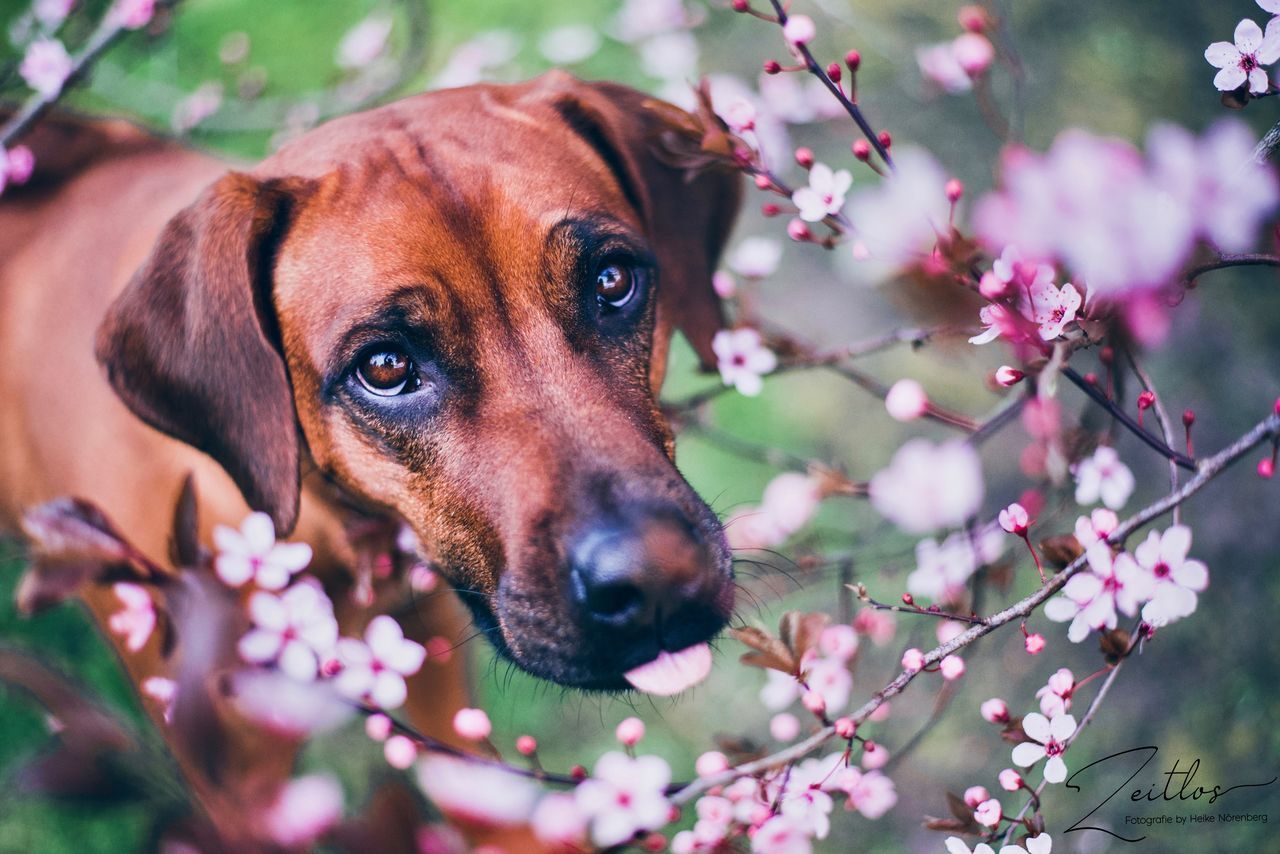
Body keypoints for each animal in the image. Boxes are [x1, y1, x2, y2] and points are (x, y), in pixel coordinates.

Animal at [0, 70, 742, 829]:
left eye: (612, 282)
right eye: (385, 368)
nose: (657, 581)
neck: (339, 529)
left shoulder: (439, 685)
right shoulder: (236, 781)